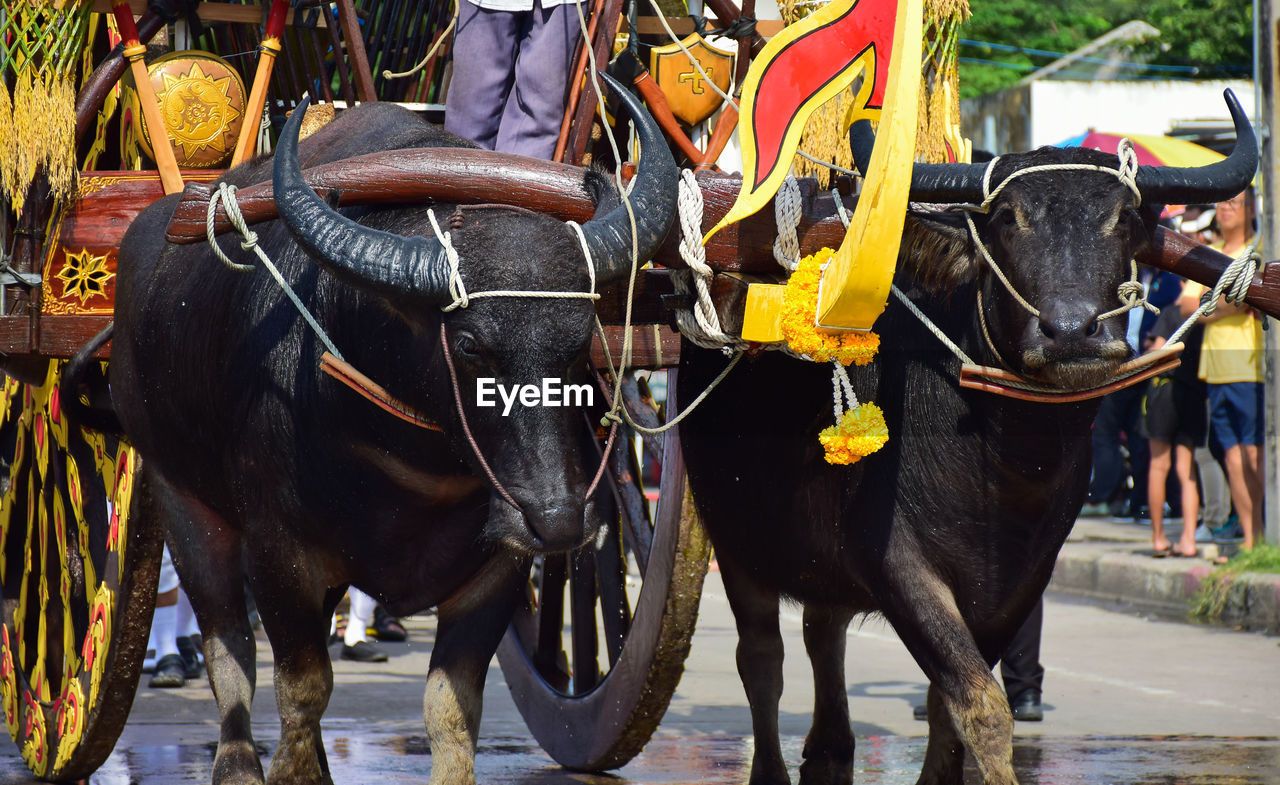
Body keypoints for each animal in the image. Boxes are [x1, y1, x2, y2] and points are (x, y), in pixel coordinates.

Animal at [103, 78, 680, 783]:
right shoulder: (279, 554)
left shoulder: (496, 571)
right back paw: (235, 759)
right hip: (180, 496)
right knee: (228, 652)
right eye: (470, 346)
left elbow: (451, 712)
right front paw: (294, 767)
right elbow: (303, 687)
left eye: (580, 344)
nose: (557, 520)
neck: (414, 466)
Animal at [675, 93, 1254, 783]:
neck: (1004, 461)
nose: (1072, 332)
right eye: (1008, 217)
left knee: (823, 632)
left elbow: (946, 707)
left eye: (1123, 218)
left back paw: (830, 749)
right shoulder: (897, 567)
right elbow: (980, 703)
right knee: (762, 657)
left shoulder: (1021, 581)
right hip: (734, 535)